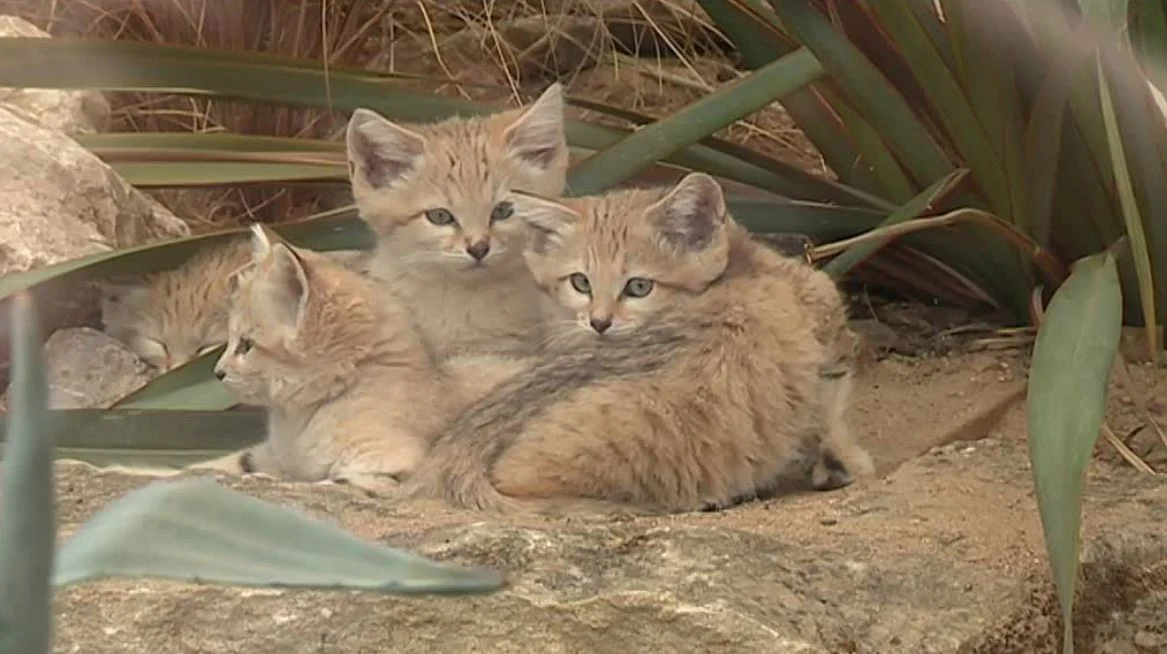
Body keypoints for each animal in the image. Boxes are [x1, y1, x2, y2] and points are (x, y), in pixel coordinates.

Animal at [399, 175, 877, 516]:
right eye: (581, 283)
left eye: (640, 287)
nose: (599, 323)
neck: (746, 265)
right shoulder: (828, 354)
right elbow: (831, 421)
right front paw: (847, 465)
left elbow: (830, 420)